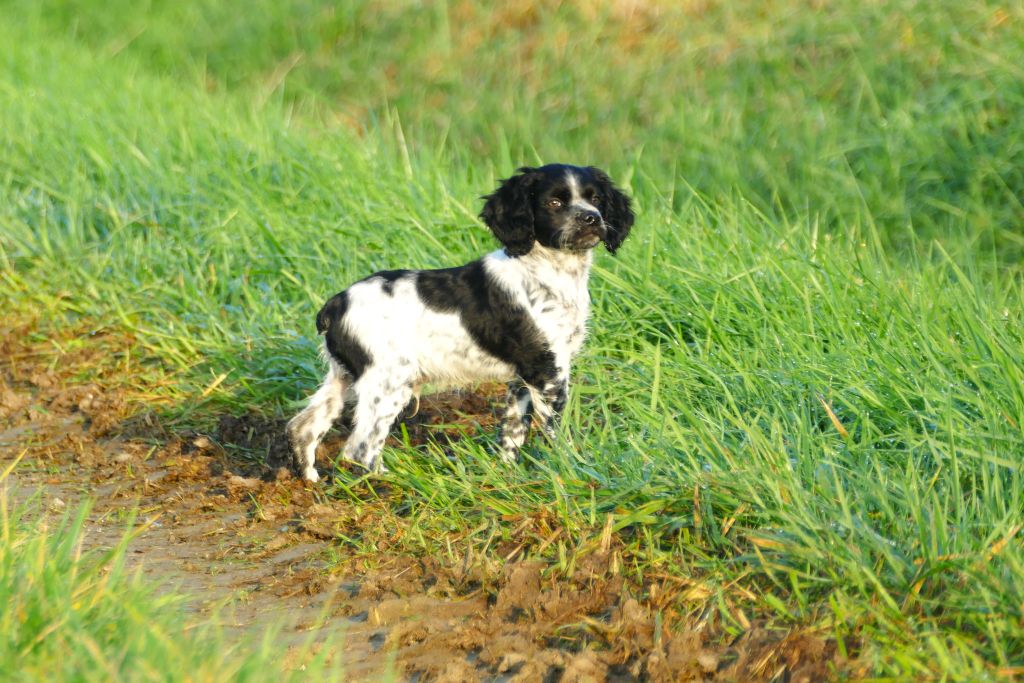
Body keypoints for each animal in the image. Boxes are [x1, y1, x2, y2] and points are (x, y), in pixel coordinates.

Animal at [286, 164, 630, 481]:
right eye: (554, 203)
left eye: (596, 199)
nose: (591, 218)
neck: (548, 271)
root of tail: (335, 305)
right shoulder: (547, 370)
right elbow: (555, 431)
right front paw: (569, 469)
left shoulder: (522, 377)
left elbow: (513, 431)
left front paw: (508, 477)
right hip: (388, 382)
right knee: (360, 451)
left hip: (343, 377)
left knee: (303, 428)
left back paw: (312, 484)